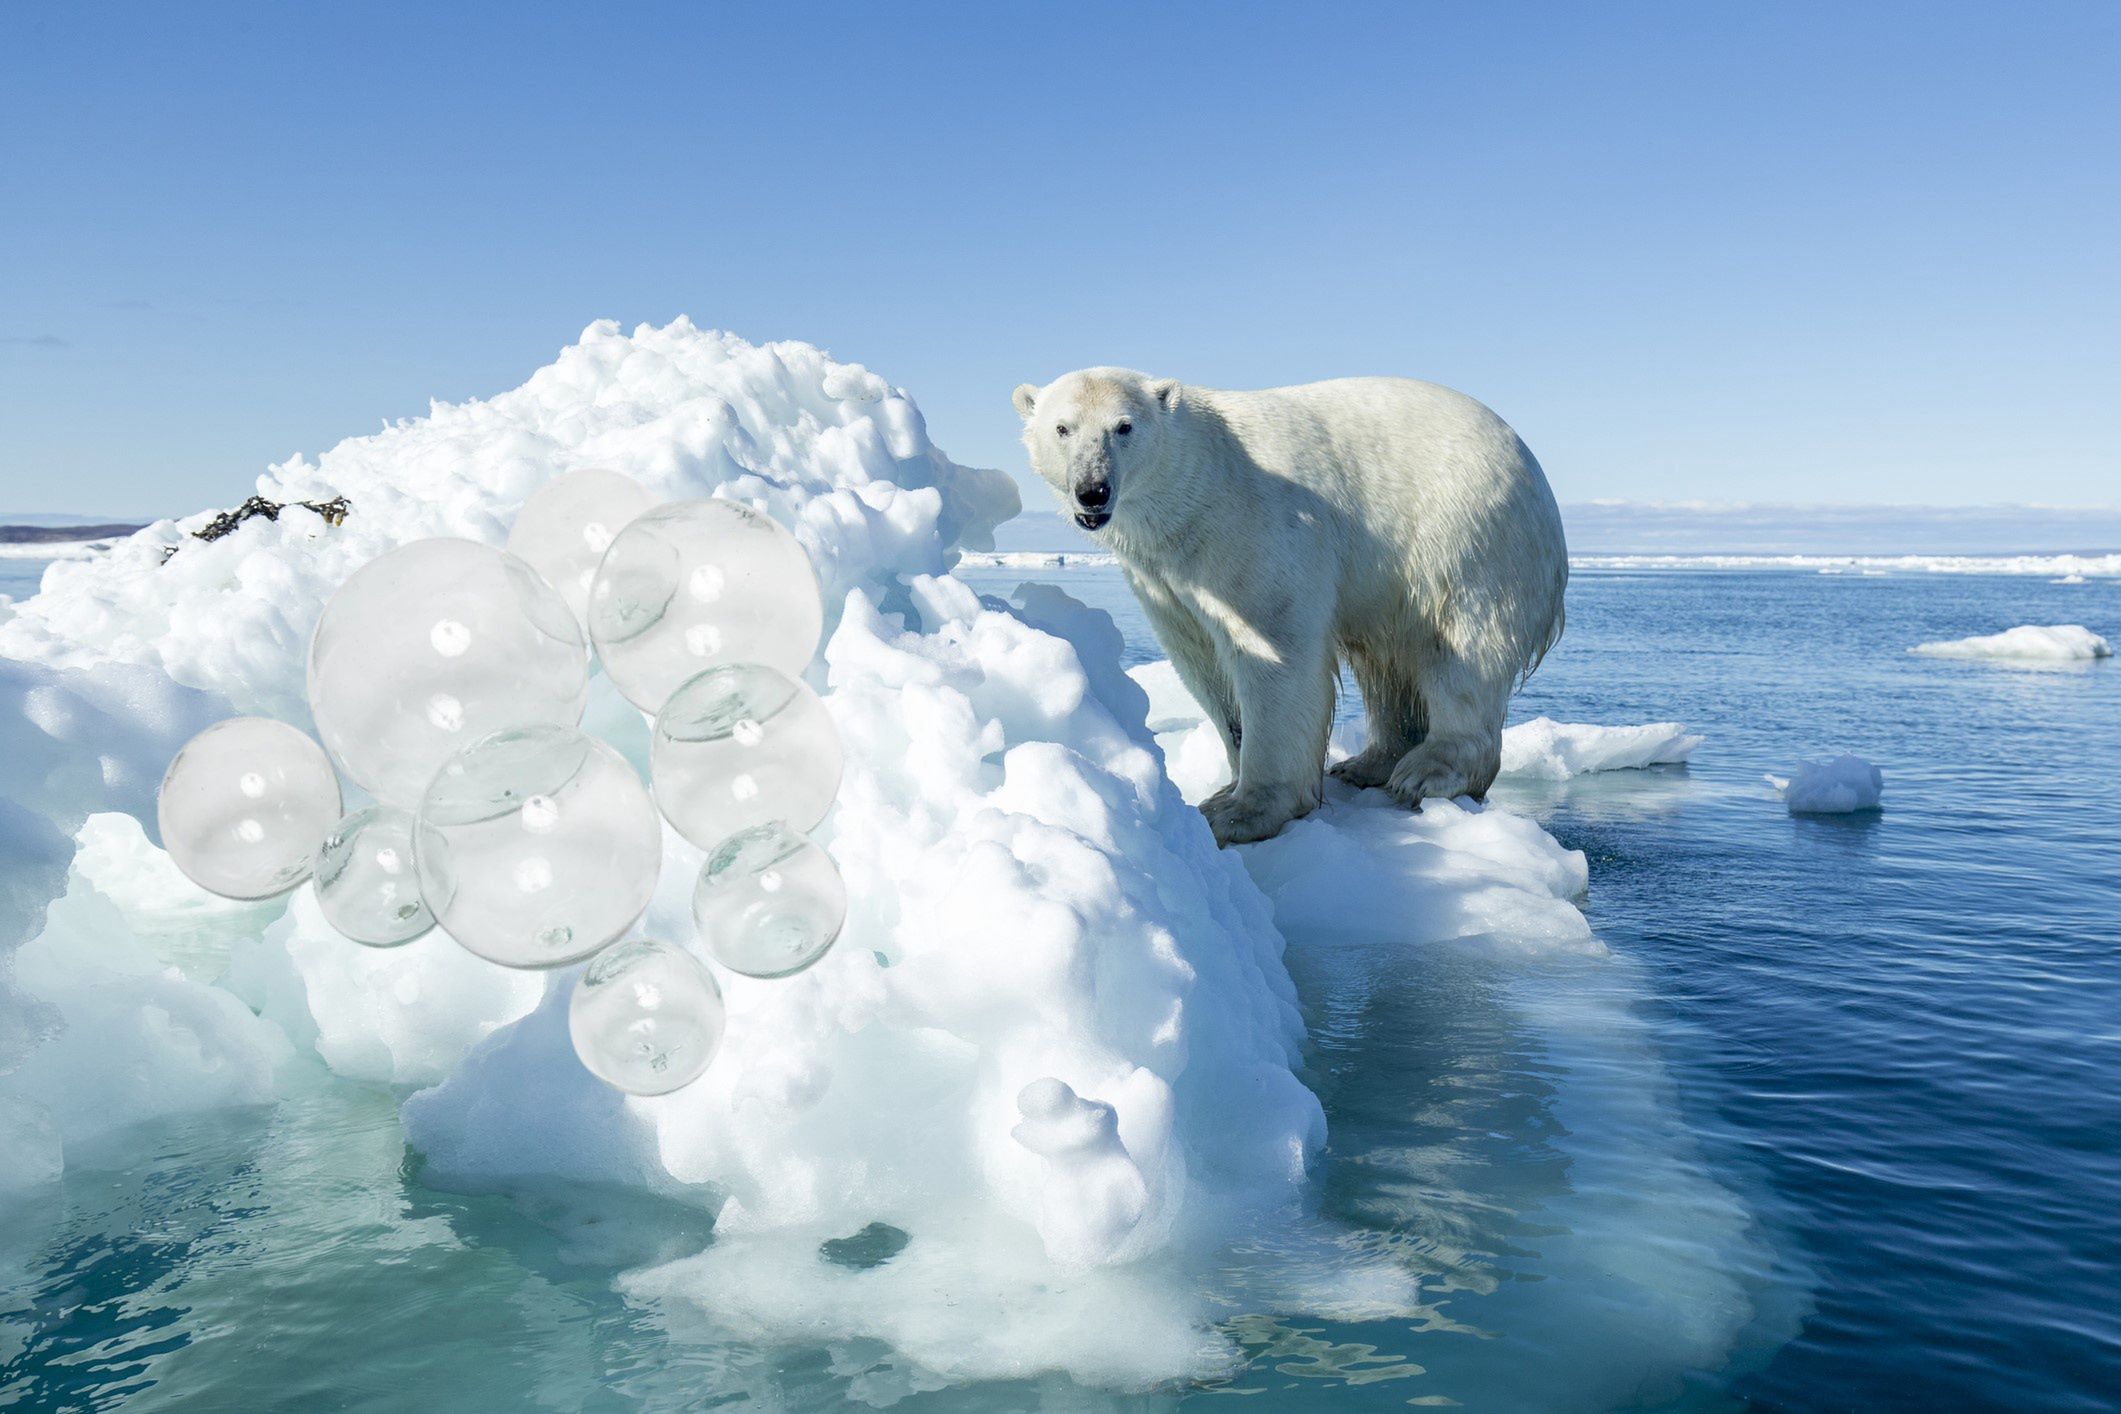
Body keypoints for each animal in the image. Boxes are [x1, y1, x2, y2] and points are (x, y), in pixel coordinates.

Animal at [1009, 370, 1561, 847]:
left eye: (1124, 426)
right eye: (1062, 428)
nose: (1093, 490)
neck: (1197, 487)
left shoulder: (1255, 531)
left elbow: (1274, 653)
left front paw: (1239, 812)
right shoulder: (1163, 579)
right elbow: (1204, 666)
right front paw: (1226, 783)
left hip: (1465, 536)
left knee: (1463, 647)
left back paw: (1428, 771)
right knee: (1387, 664)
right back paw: (1367, 763)